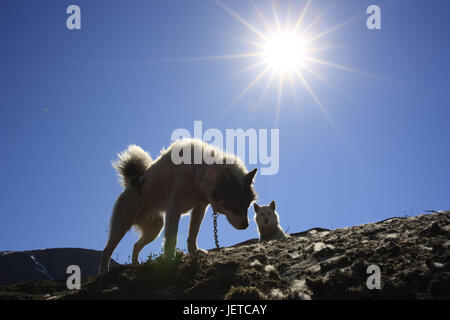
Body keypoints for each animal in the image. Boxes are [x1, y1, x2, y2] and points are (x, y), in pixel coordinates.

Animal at [101, 138, 256, 272]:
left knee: (135, 246)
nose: (246, 225)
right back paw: (104, 271)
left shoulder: (200, 208)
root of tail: (132, 183)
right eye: (234, 202)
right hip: (121, 227)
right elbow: (172, 239)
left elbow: (193, 234)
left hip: (155, 229)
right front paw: (170, 260)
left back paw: (135, 264)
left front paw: (195, 251)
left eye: (247, 205)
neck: (198, 171)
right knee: (107, 250)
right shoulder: (174, 209)